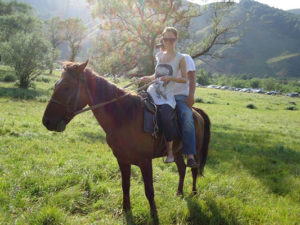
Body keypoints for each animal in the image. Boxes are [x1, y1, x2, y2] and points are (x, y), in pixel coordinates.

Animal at [42, 60, 211, 221]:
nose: (47, 121)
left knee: (193, 170)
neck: (126, 117)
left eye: (66, 87)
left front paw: (154, 215)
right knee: (182, 169)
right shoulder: (122, 160)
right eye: (56, 85)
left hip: (194, 151)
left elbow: (149, 190)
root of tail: (195, 111)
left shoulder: (145, 161)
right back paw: (179, 192)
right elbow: (125, 186)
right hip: (176, 152)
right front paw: (126, 210)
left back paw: (194, 193)